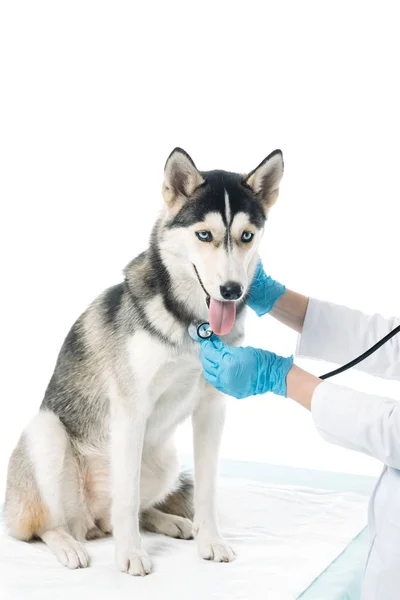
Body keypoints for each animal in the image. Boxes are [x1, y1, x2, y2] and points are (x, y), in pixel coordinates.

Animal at [3, 148, 284, 576]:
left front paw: (209, 540)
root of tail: (88, 522)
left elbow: (206, 491)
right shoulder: (130, 411)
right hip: (46, 433)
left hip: (165, 458)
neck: (192, 327)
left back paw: (169, 521)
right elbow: (128, 497)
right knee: (50, 525)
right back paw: (69, 545)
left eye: (246, 236)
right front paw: (131, 554)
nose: (232, 291)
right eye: (204, 235)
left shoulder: (212, 409)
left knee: (122, 514)